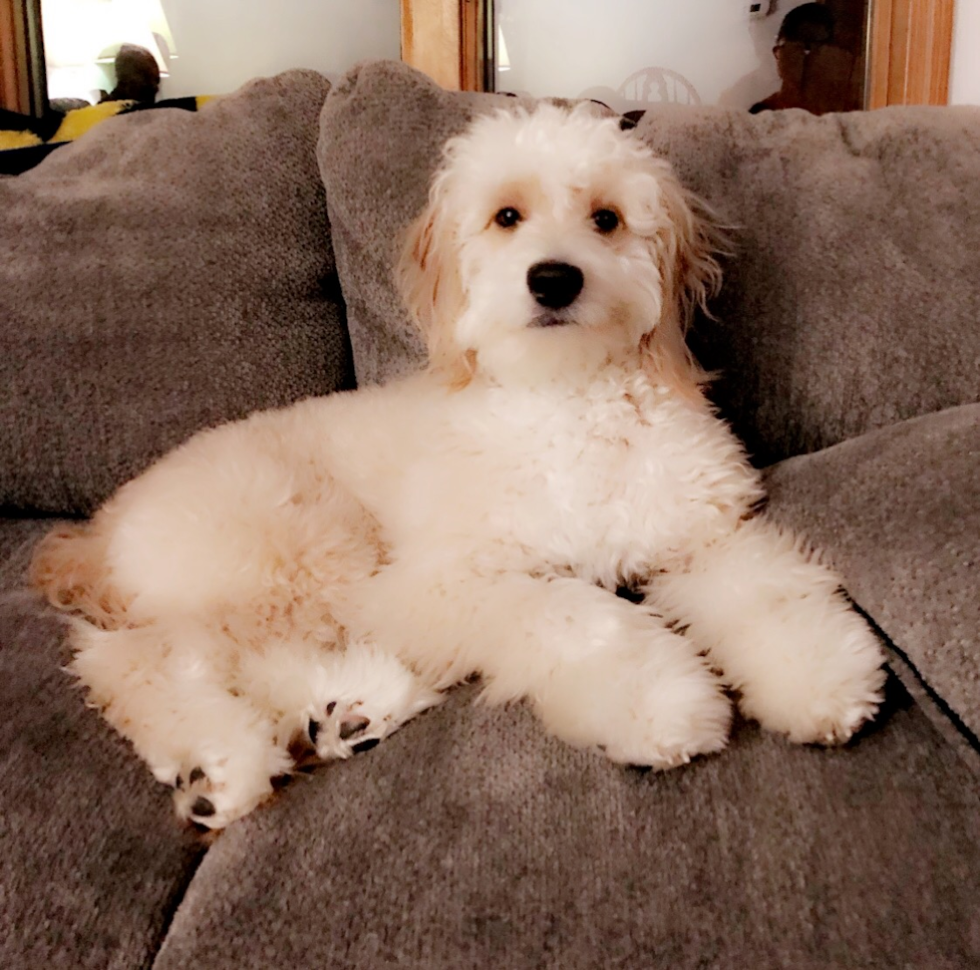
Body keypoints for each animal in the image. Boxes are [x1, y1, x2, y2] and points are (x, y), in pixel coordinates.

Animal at [30, 104, 888, 832]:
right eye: (507, 217)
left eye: (606, 219)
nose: (554, 278)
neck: (567, 397)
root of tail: (99, 531)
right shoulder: (444, 581)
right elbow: (582, 620)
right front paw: (662, 704)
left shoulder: (701, 532)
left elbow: (765, 591)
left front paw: (821, 677)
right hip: (293, 547)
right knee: (138, 659)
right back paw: (220, 763)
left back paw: (349, 711)